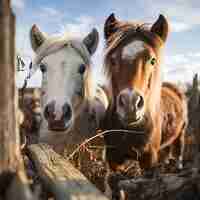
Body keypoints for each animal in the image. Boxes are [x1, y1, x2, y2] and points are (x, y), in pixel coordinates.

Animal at [101, 13, 188, 171]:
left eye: (152, 60)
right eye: (113, 60)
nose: (130, 105)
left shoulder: (149, 159)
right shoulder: (113, 158)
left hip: (181, 134)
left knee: (178, 152)